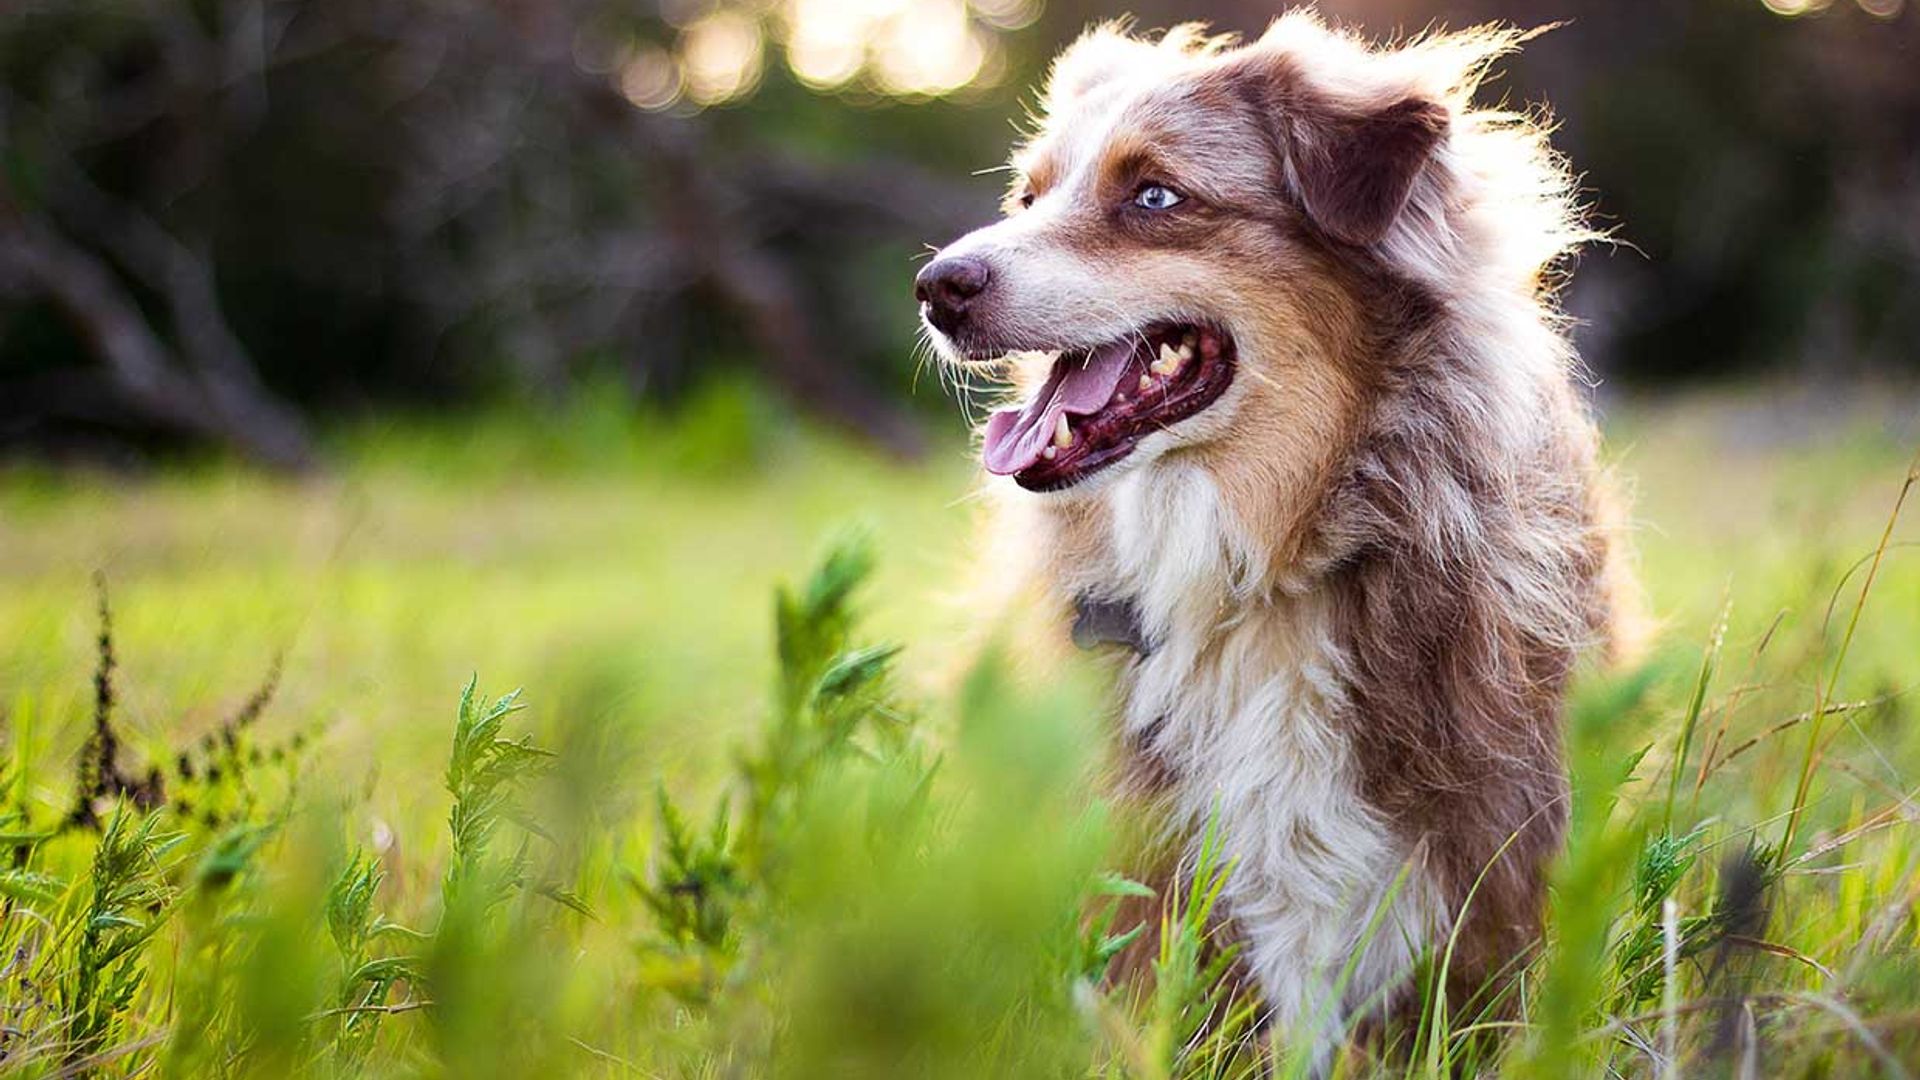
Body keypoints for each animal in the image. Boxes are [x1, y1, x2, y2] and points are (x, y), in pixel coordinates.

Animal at [913, 8, 1635, 1060]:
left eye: (1155, 194)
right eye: (1028, 196)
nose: (935, 287)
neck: (1262, 568)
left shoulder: (1486, 851)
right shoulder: (1151, 868)